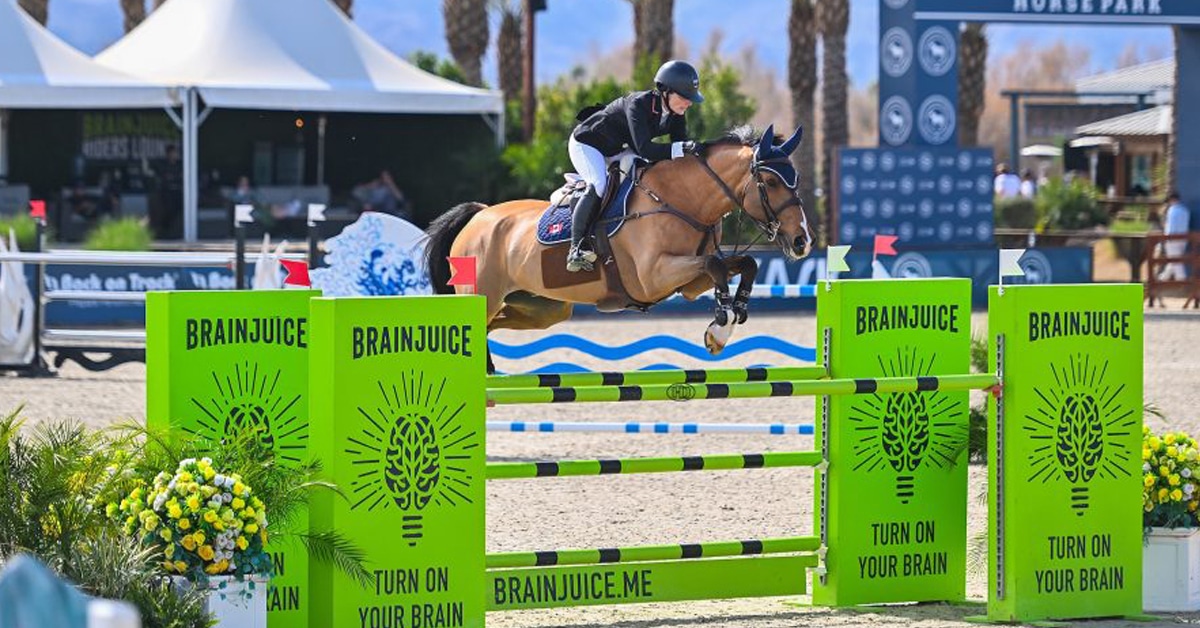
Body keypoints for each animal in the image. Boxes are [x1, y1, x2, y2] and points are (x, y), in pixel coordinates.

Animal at [424, 124, 814, 373]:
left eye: (795, 179)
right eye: (770, 182)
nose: (803, 241)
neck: (679, 199)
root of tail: (479, 216)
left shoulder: (687, 283)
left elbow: (744, 263)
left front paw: (733, 314)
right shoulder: (653, 277)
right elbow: (716, 266)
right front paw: (719, 327)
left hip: (544, 308)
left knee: (495, 324)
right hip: (484, 294)